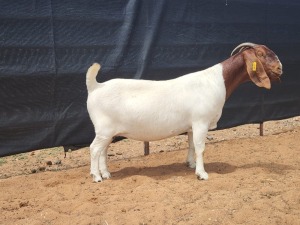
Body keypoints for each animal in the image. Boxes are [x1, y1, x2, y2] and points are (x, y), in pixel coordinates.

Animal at [85, 42, 282, 183]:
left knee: (103, 150)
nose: (280, 68)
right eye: (262, 54)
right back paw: (96, 177)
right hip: (104, 129)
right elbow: (201, 147)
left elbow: (192, 145)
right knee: (94, 149)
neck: (215, 81)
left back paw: (106, 173)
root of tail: (96, 86)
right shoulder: (201, 122)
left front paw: (191, 164)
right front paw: (202, 174)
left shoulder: (191, 126)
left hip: (108, 132)